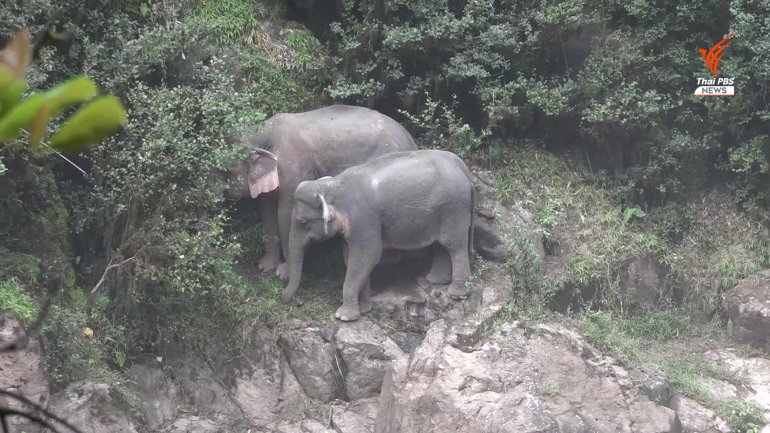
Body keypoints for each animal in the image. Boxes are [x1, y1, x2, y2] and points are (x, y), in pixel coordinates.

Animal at [224, 105, 418, 278]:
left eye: (227, 170)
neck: (261, 132)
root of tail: (412, 140)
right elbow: (267, 211)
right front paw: (265, 267)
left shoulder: (295, 169)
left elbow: (285, 216)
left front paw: (283, 274)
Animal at [281, 149, 476, 321]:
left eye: (303, 222)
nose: (282, 296)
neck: (335, 186)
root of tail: (463, 167)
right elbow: (351, 257)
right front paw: (364, 309)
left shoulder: (365, 220)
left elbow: (367, 256)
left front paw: (344, 316)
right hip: (442, 209)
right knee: (442, 245)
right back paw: (435, 281)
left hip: (455, 207)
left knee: (454, 245)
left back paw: (456, 294)